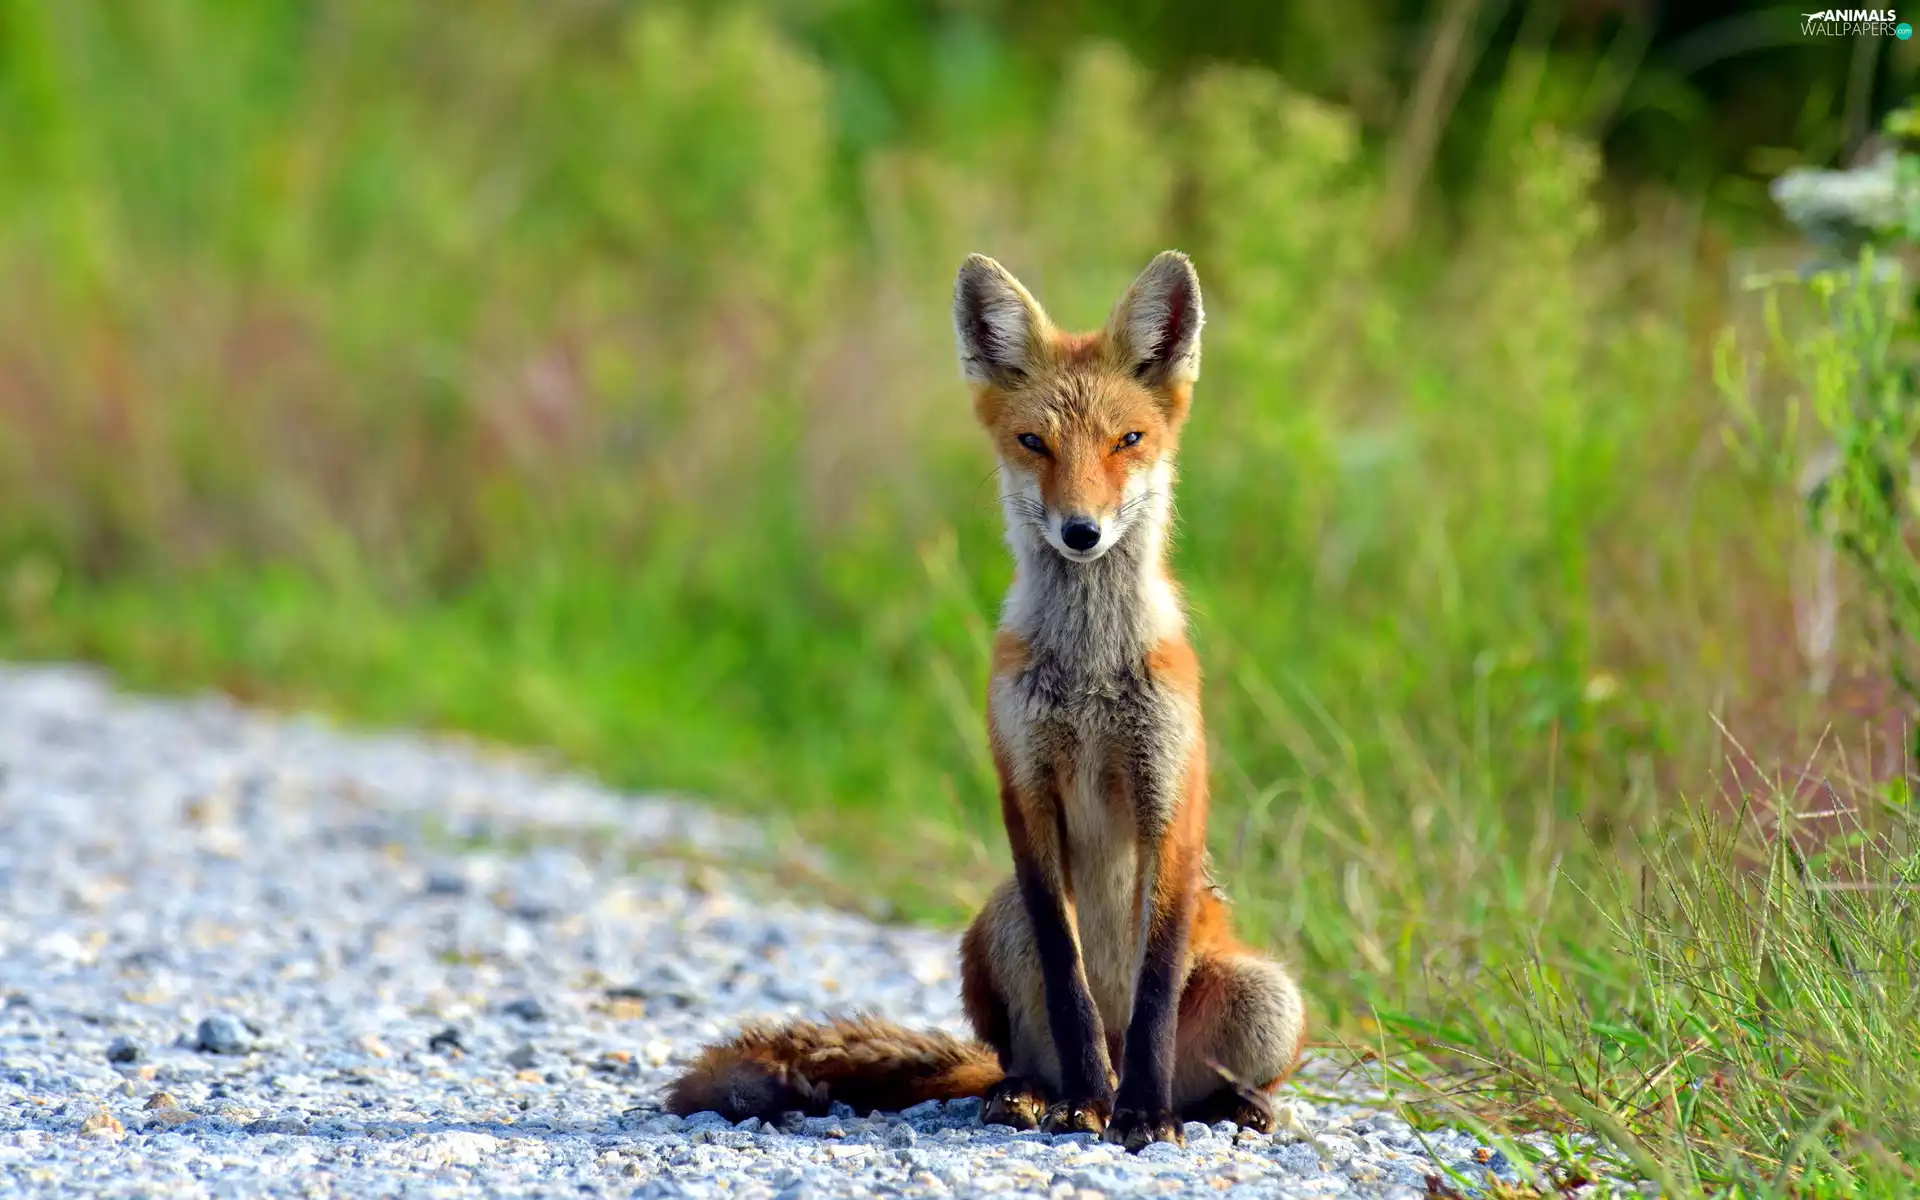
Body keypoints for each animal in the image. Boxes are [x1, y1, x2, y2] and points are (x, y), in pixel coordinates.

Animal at [665, 251, 1307, 1150]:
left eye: (1129, 441)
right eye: (1034, 443)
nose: (1081, 532)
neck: (1089, 673)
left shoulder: (1168, 797)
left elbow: (1153, 993)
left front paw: (1141, 1117)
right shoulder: (1025, 789)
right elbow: (1069, 977)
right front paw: (1088, 1105)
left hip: (1268, 996)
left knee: (1210, 1075)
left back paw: (1220, 1105)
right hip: (991, 925)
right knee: (1019, 1054)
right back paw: (1037, 1093)